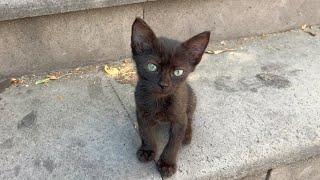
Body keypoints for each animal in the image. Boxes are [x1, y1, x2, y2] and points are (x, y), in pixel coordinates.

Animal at [131, 18, 210, 177]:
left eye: (178, 72)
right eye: (152, 67)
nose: (163, 84)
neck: (159, 101)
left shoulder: (179, 118)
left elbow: (173, 142)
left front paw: (167, 164)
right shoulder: (141, 111)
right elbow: (145, 132)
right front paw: (148, 149)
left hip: (191, 99)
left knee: (189, 118)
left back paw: (186, 134)